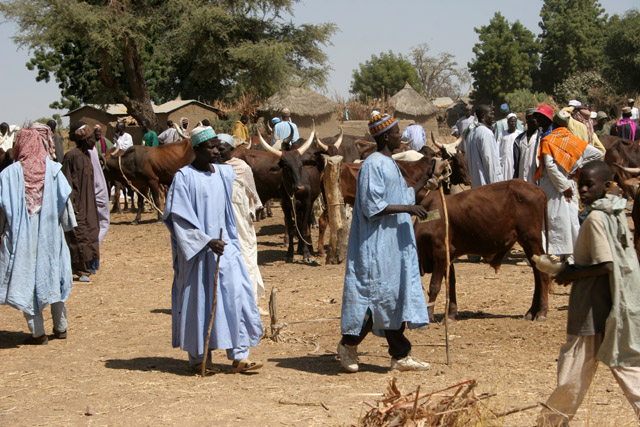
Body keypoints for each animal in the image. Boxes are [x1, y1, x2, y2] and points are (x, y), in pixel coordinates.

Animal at [416, 179, 552, 322]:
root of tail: (538, 190)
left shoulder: (440, 252)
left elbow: (434, 285)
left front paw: (429, 315)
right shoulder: (449, 256)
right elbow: (451, 282)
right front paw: (450, 315)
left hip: (531, 239)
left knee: (542, 273)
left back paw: (541, 312)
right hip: (526, 243)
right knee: (536, 273)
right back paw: (531, 312)